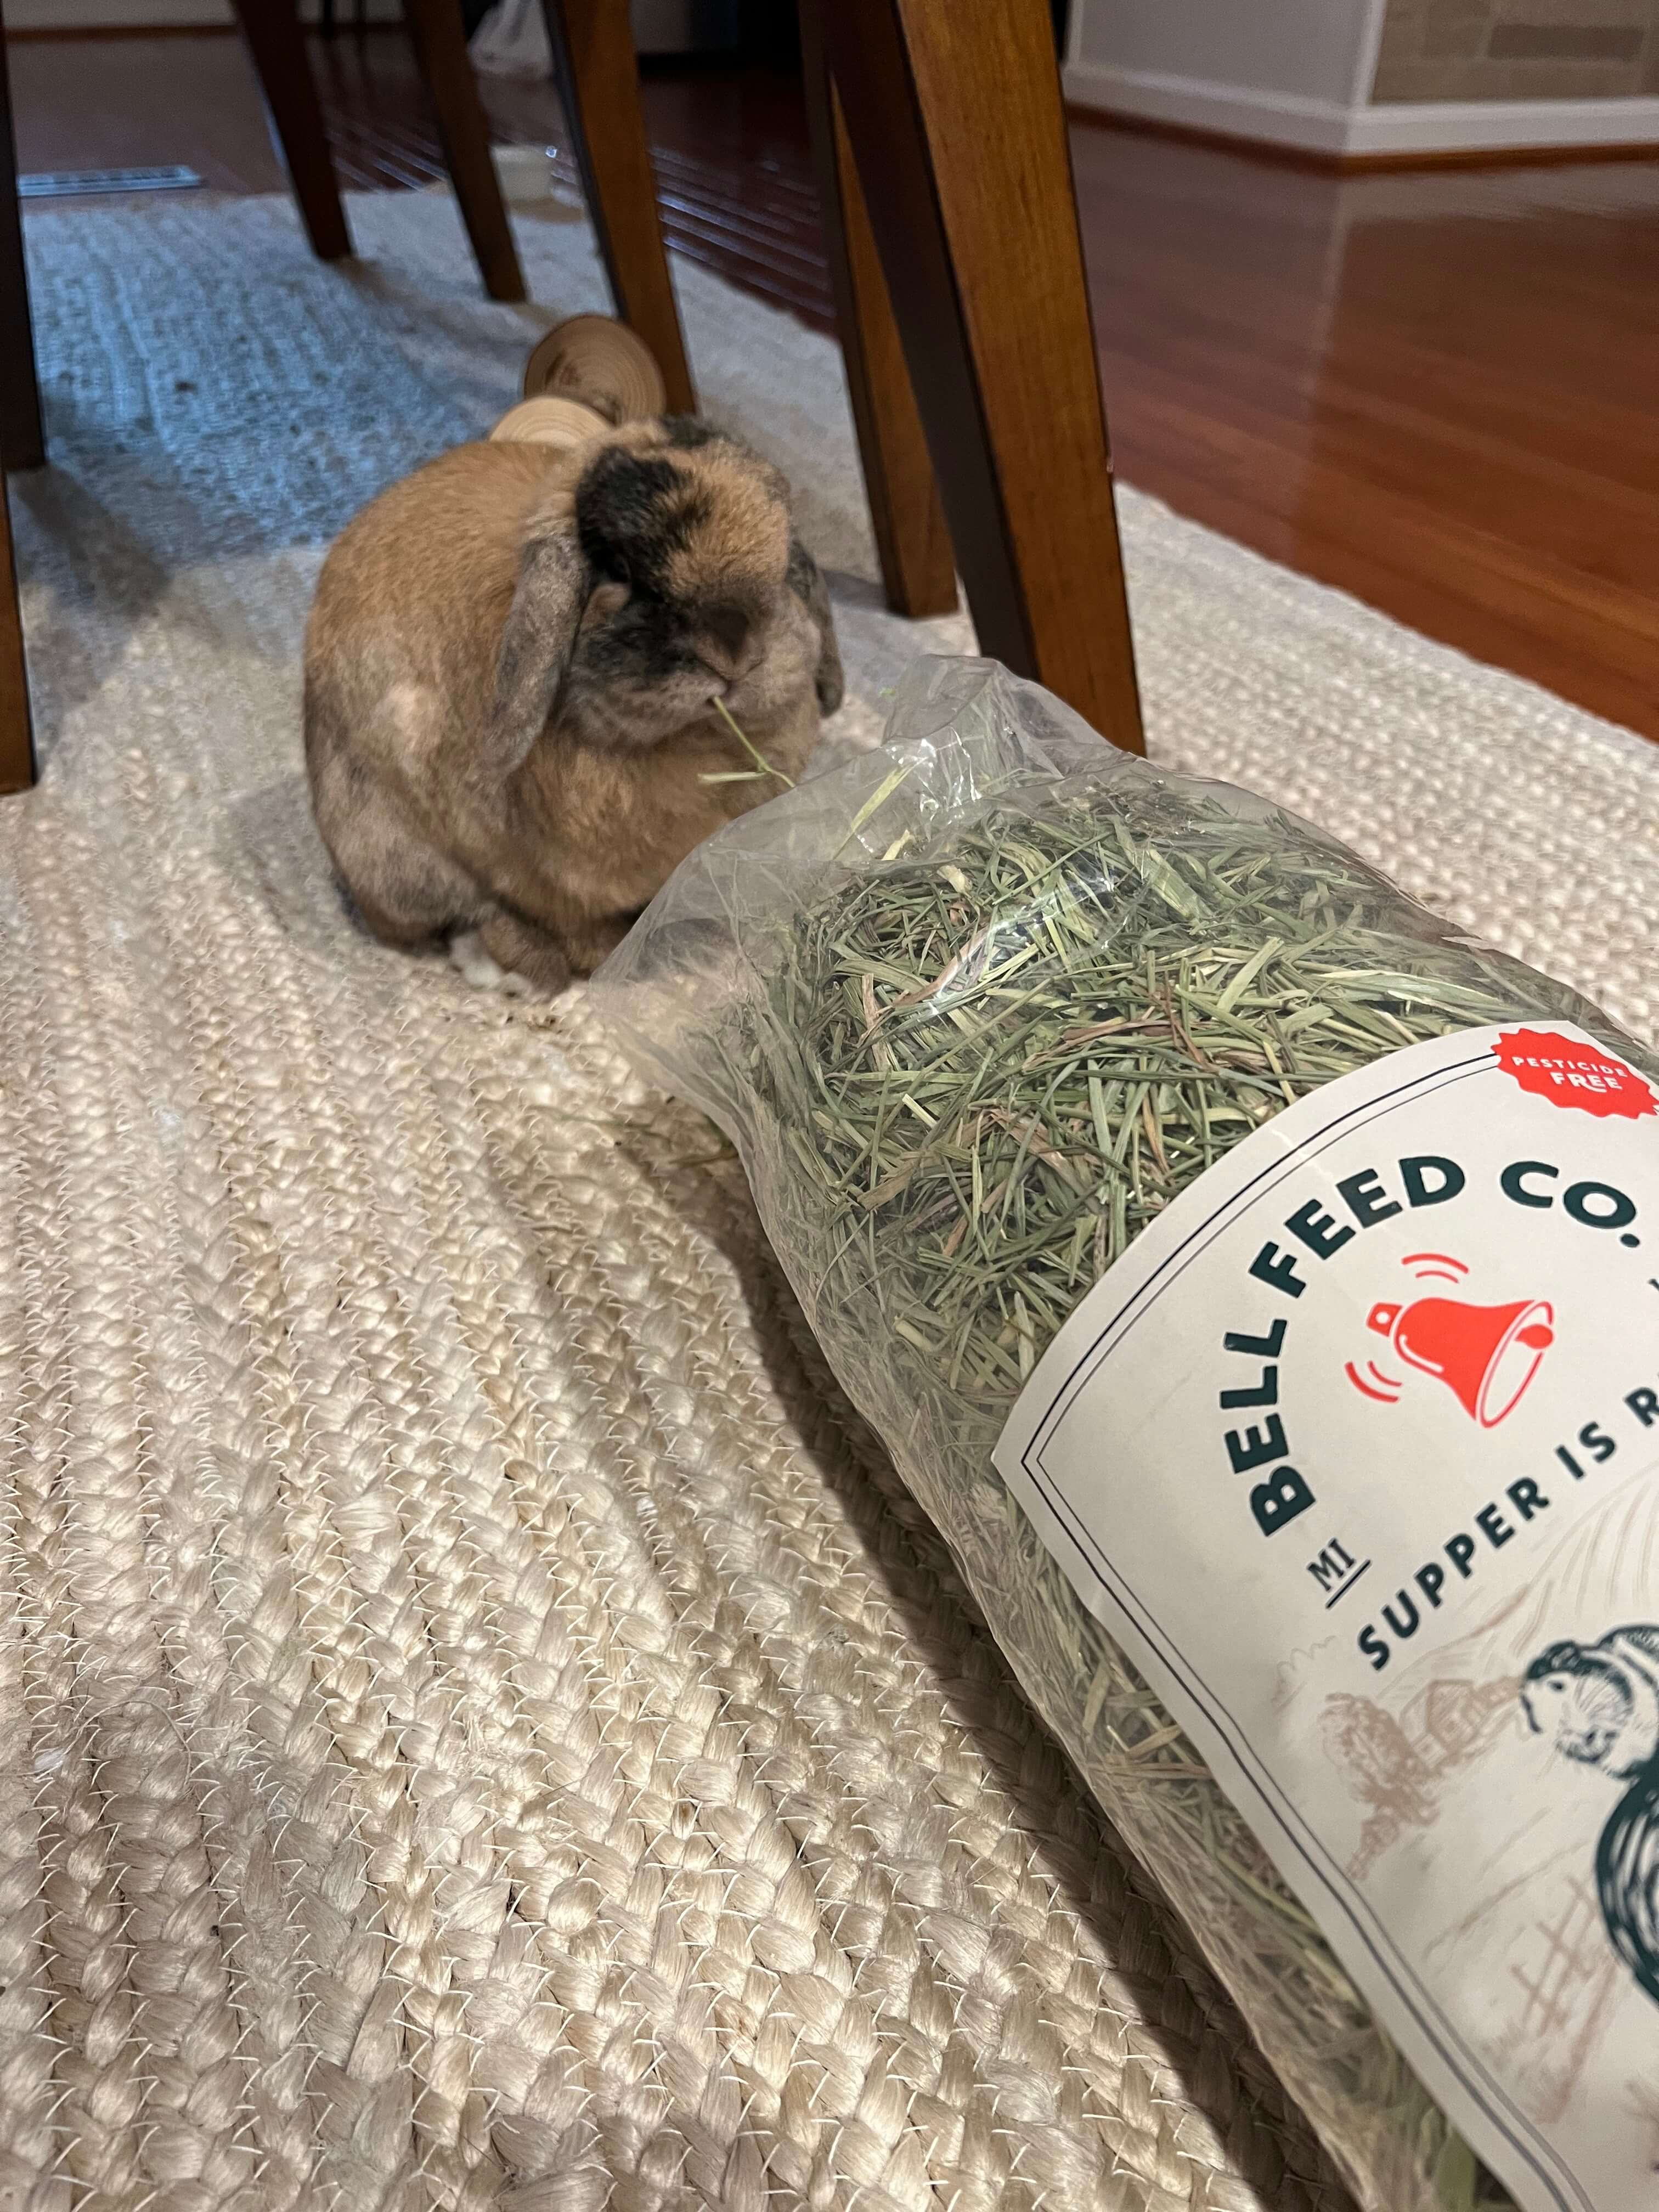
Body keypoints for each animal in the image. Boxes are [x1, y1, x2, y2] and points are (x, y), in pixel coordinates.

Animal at [305, 418, 845, 991]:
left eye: (783, 560)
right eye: (621, 571)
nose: (733, 655)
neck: (695, 745)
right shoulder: (547, 882)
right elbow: (573, 925)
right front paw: (607, 961)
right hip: (400, 864)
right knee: (468, 918)